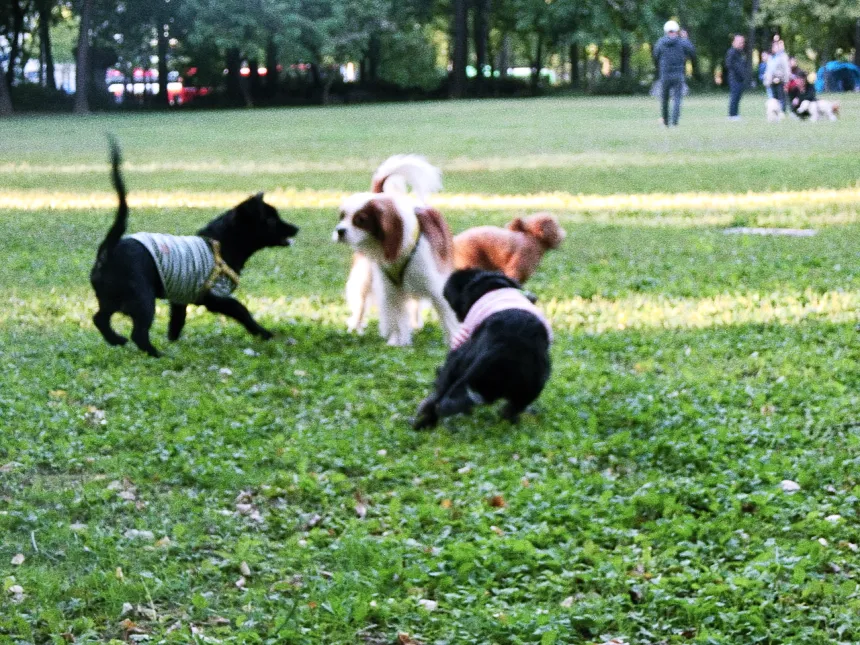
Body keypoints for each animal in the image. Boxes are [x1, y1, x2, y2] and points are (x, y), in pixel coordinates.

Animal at [90, 139, 298, 358]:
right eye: (271, 220)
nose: (296, 228)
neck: (222, 244)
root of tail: (108, 251)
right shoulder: (214, 296)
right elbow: (241, 309)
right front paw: (263, 333)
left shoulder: (180, 298)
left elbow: (177, 321)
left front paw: (173, 340)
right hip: (143, 299)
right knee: (138, 333)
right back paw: (157, 354)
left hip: (110, 299)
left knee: (99, 318)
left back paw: (116, 340)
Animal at [332, 155, 460, 344]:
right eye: (342, 217)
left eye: (360, 220)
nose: (339, 231)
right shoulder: (391, 290)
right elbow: (397, 317)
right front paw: (397, 342)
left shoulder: (435, 285)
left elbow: (448, 319)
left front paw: (455, 340)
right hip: (366, 277)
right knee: (362, 303)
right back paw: (356, 327)